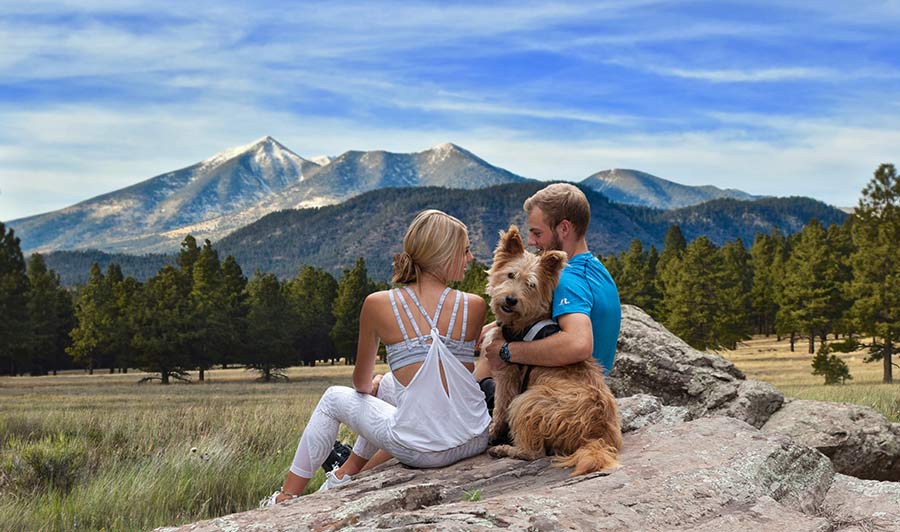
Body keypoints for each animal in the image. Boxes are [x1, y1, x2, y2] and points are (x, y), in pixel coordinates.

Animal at [482, 227, 624, 476]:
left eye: (531, 285)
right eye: (510, 275)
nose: (510, 299)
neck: (525, 322)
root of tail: (595, 436)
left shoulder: (507, 376)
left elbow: (500, 407)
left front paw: (493, 433)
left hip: (528, 401)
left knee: (534, 452)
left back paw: (506, 449)